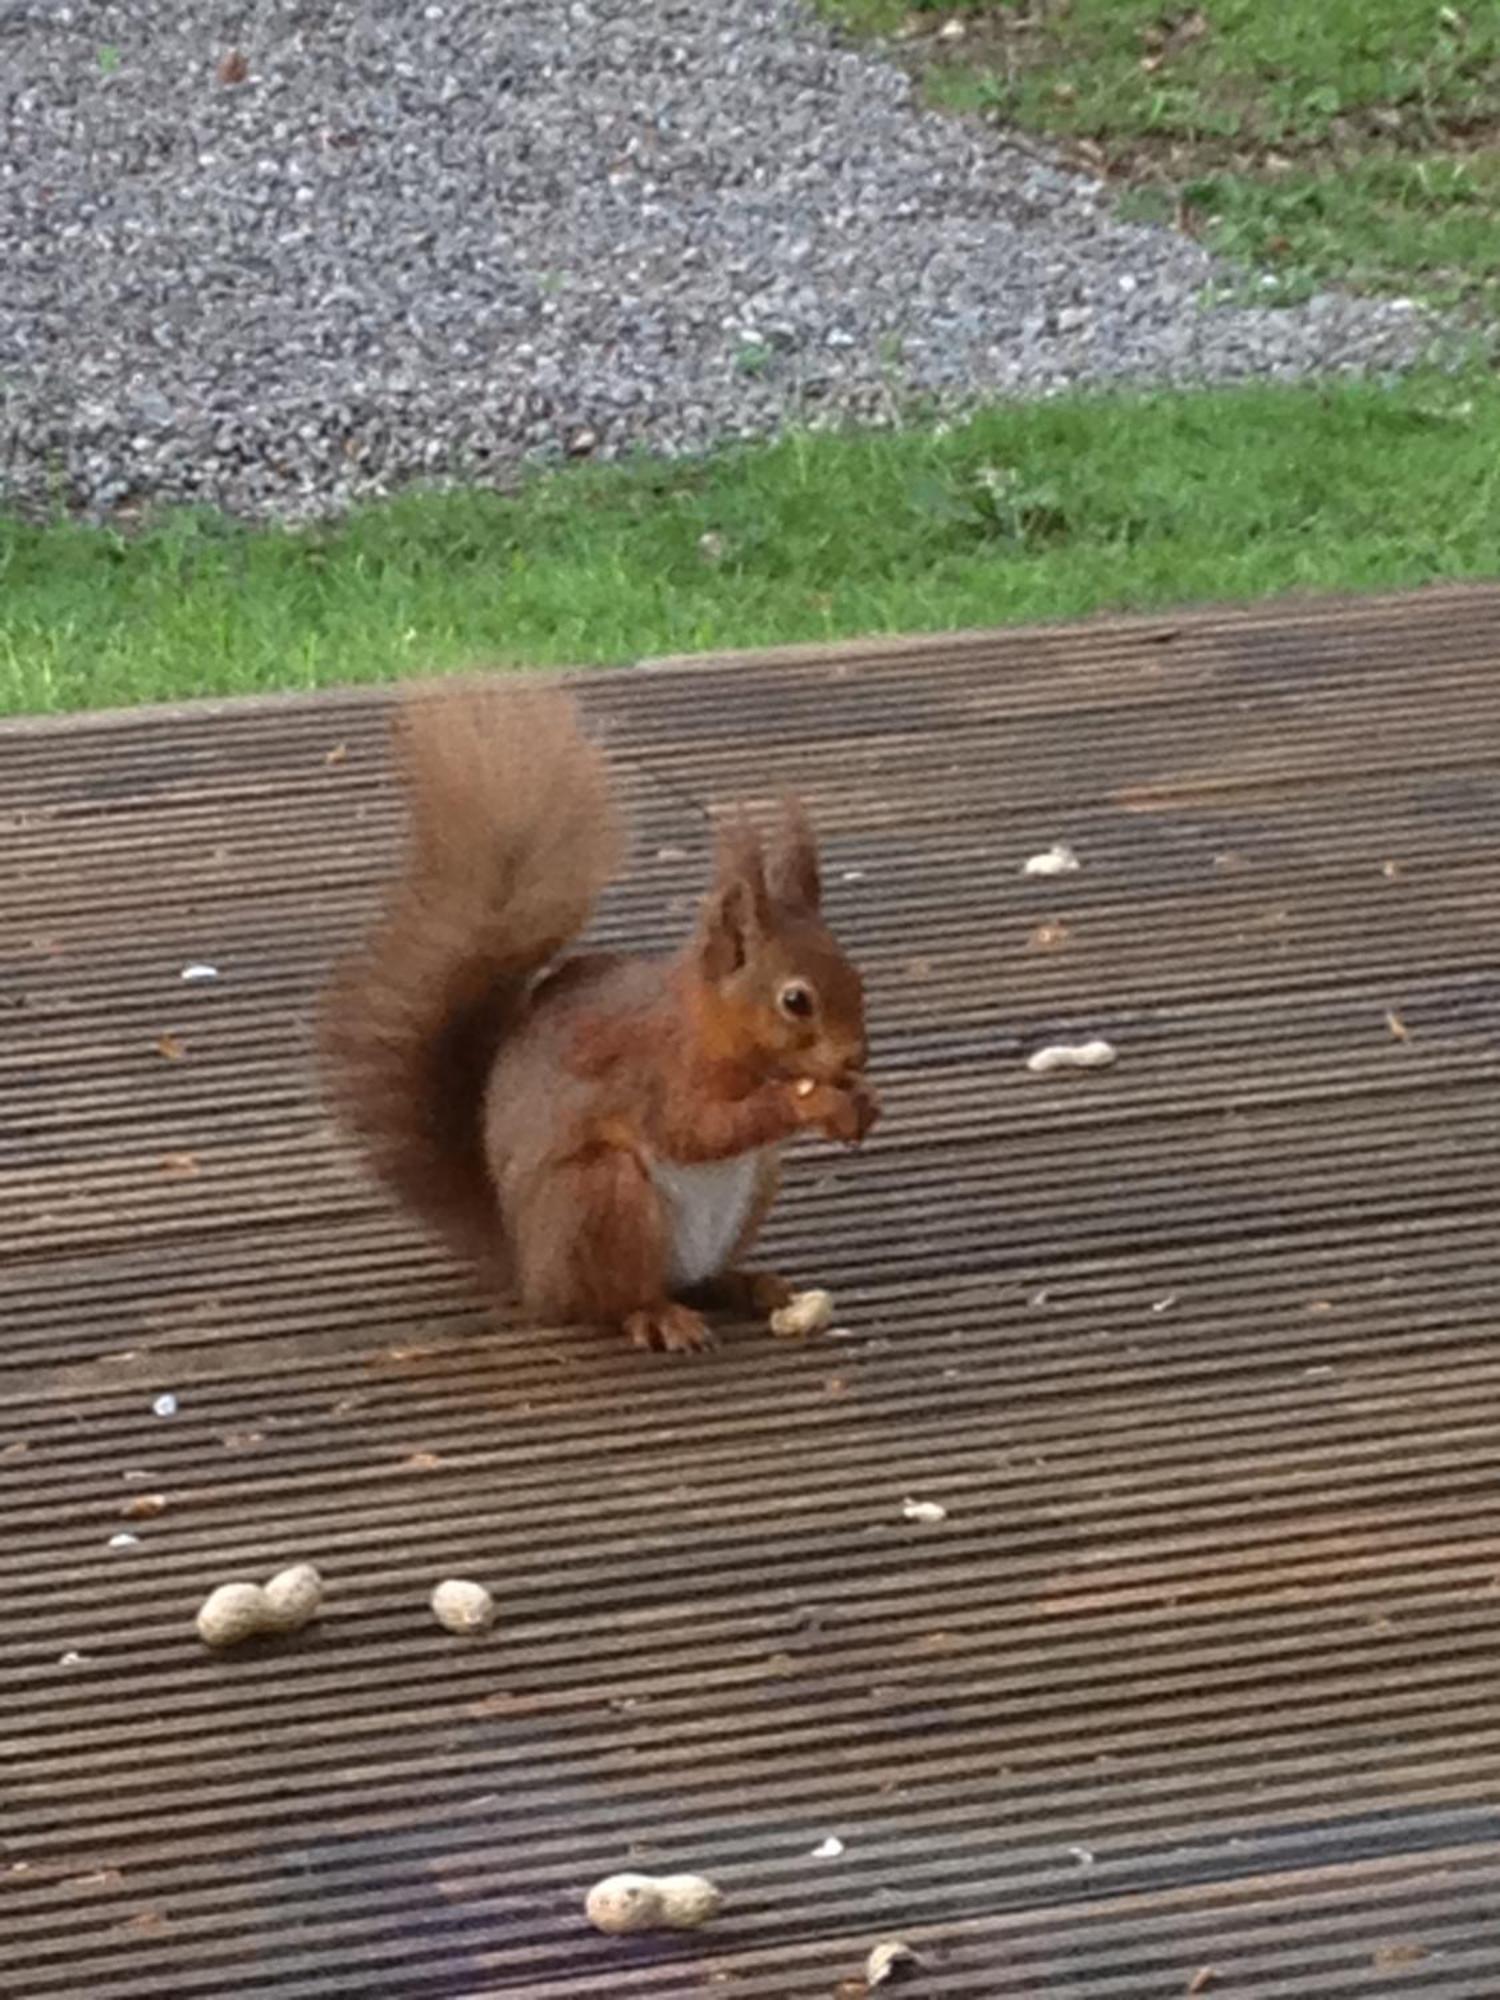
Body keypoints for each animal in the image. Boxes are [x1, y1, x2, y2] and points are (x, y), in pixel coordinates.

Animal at [320, 680, 880, 1352]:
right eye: (796, 1001)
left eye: (856, 976)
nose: (856, 1056)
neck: (709, 1025)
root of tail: (530, 1269)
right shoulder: (658, 1070)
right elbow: (697, 1130)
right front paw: (811, 1102)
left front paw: (860, 1100)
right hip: (602, 1198)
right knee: (611, 1300)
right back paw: (656, 1315)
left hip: (754, 1185)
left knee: (699, 1279)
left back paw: (745, 1283)